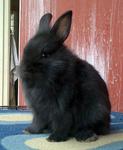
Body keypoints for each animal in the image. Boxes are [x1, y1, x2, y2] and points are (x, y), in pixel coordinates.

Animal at [19, 10, 111, 142]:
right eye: (25, 51)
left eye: (45, 54)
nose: (24, 69)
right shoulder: (39, 111)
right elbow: (38, 122)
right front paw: (29, 130)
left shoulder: (62, 108)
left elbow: (62, 123)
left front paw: (54, 138)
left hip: (96, 111)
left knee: (89, 127)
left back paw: (86, 136)